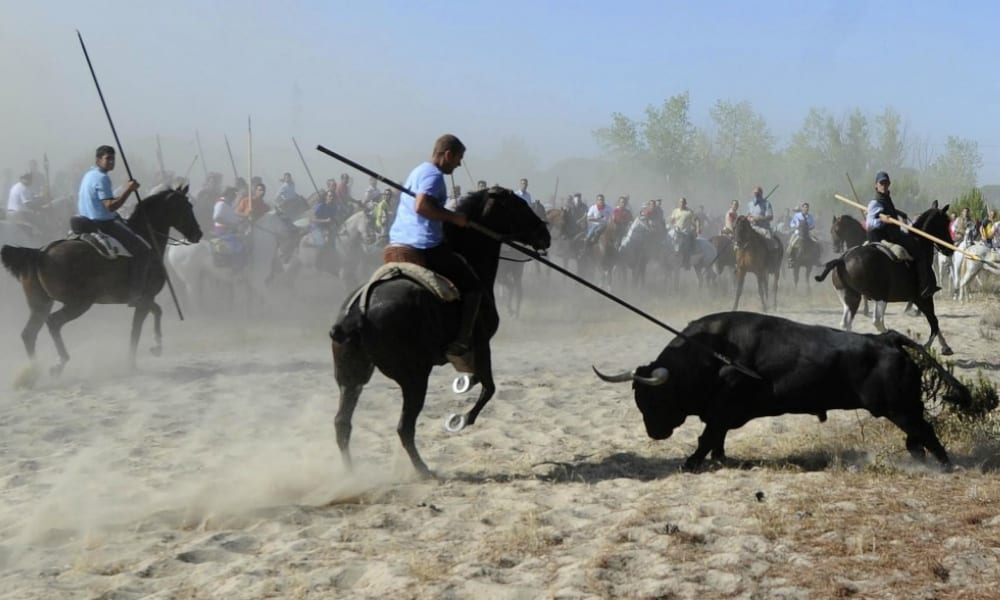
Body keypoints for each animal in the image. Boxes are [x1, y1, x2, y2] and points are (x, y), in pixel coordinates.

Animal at [0, 186, 203, 376]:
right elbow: (136, 330)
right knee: (53, 323)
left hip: (40, 304)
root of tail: (40, 253)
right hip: (78, 303)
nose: (198, 234)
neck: (147, 238)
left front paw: (156, 347)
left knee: (29, 334)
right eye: (187, 206)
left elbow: (158, 311)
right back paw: (58, 363)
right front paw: (132, 363)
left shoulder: (144, 300)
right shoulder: (144, 299)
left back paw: (34, 372)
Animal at [330, 188, 552, 478]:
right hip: (413, 378)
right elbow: (489, 387)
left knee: (342, 424)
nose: (545, 234)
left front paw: (465, 383)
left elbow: (479, 379)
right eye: (518, 206)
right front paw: (463, 419)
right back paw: (423, 471)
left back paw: (351, 474)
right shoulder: (481, 344)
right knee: (404, 427)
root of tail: (358, 313)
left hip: (351, 377)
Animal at [592, 312, 968, 472]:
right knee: (917, 436)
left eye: (655, 398)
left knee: (926, 433)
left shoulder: (722, 407)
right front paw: (719, 458)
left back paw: (945, 466)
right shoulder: (722, 414)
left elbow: (707, 436)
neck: (709, 354)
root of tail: (885, 338)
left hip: (901, 409)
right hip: (904, 409)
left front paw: (692, 462)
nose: (654, 433)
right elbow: (717, 437)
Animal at [816, 206, 956, 356]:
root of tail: (842, 260)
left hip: (851, 298)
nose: (950, 248)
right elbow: (934, 323)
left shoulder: (919, 299)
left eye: (836, 230)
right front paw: (931, 347)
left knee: (847, 323)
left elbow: (934, 322)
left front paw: (945, 346)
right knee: (877, 322)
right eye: (945, 224)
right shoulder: (924, 298)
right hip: (880, 297)